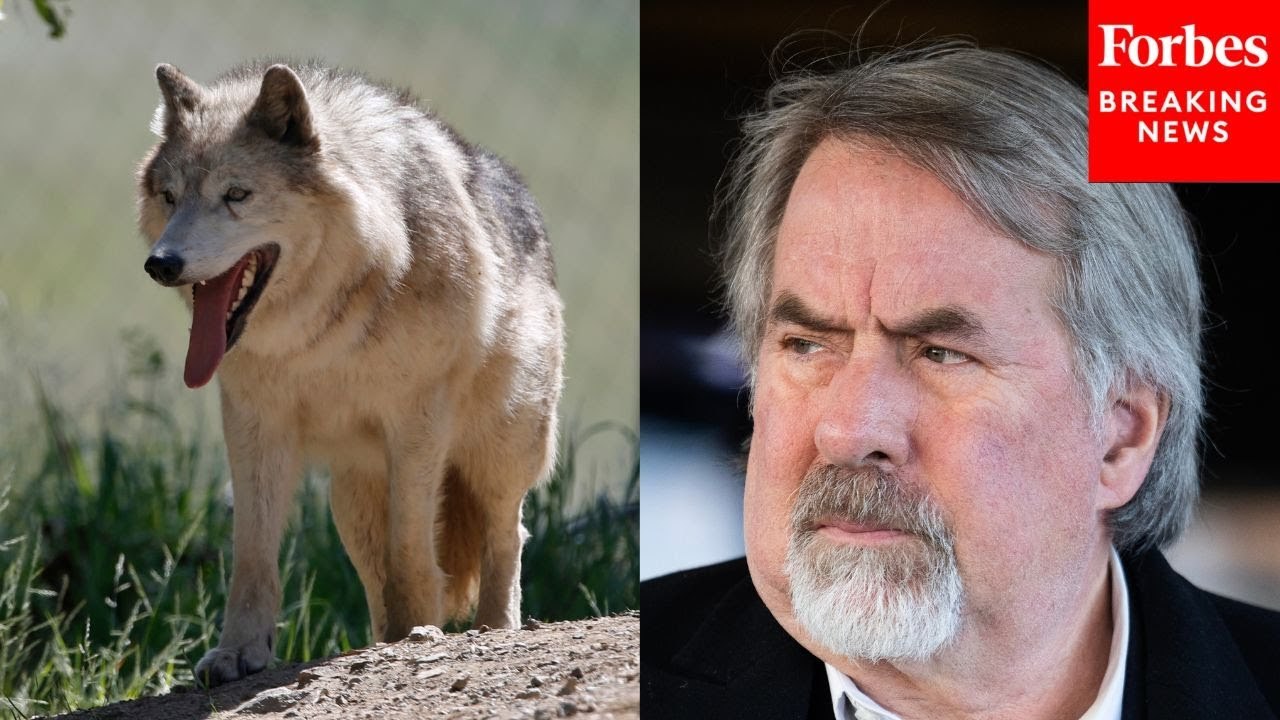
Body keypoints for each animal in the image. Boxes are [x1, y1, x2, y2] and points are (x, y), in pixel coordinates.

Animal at [137, 61, 564, 687]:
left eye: (236, 195)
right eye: (170, 197)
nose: (161, 264)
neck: (320, 336)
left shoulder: (418, 421)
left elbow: (411, 548)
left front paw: (419, 632)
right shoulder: (254, 425)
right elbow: (253, 553)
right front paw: (240, 651)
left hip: (499, 452)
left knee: (506, 534)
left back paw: (492, 629)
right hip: (351, 503)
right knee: (378, 570)